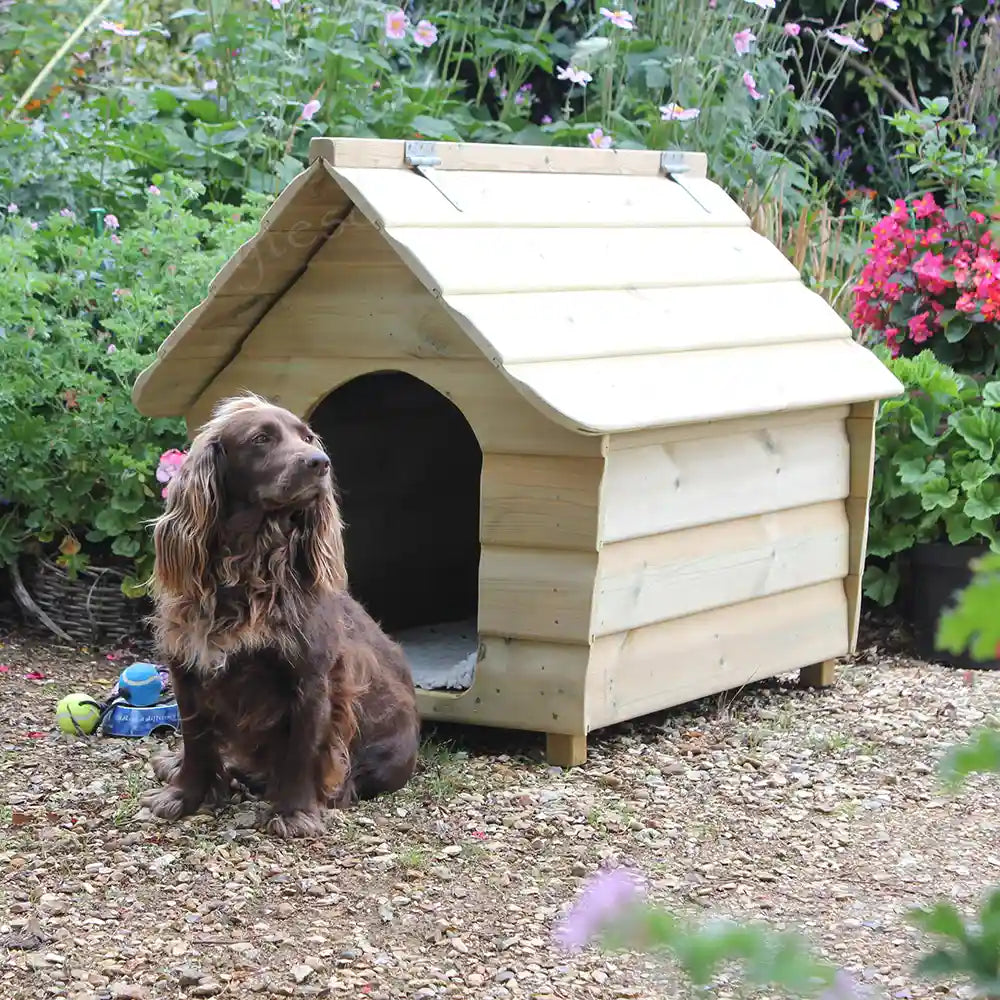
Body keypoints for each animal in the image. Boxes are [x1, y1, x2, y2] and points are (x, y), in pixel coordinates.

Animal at [141, 390, 422, 836]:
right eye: (261, 439)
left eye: (307, 437)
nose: (320, 463)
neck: (248, 565)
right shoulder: (188, 666)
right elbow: (196, 740)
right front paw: (183, 795)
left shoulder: (311, 679)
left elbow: (302, 752)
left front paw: (294, 813)